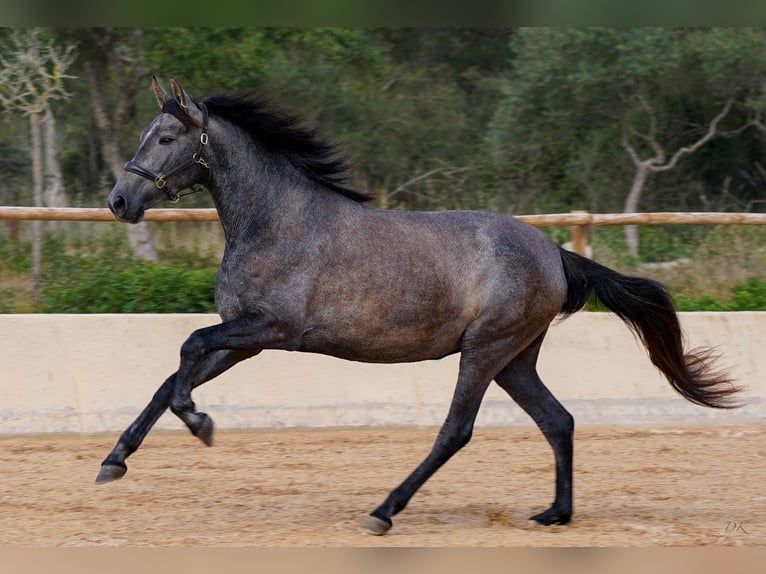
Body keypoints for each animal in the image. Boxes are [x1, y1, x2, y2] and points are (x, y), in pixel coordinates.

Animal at [99, 76, 740, 536]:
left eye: (165, 138)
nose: (119, 201)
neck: (273, 220)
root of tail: (554, 254)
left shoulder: (269, 329)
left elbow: (187, 350)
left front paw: (201, 424)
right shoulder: (246, 338)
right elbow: (171, 376)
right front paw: (115, 461)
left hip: (485, 350)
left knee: (456, 430)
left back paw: (383, 512)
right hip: (515, 359)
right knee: (558, 420)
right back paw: (555, 514)